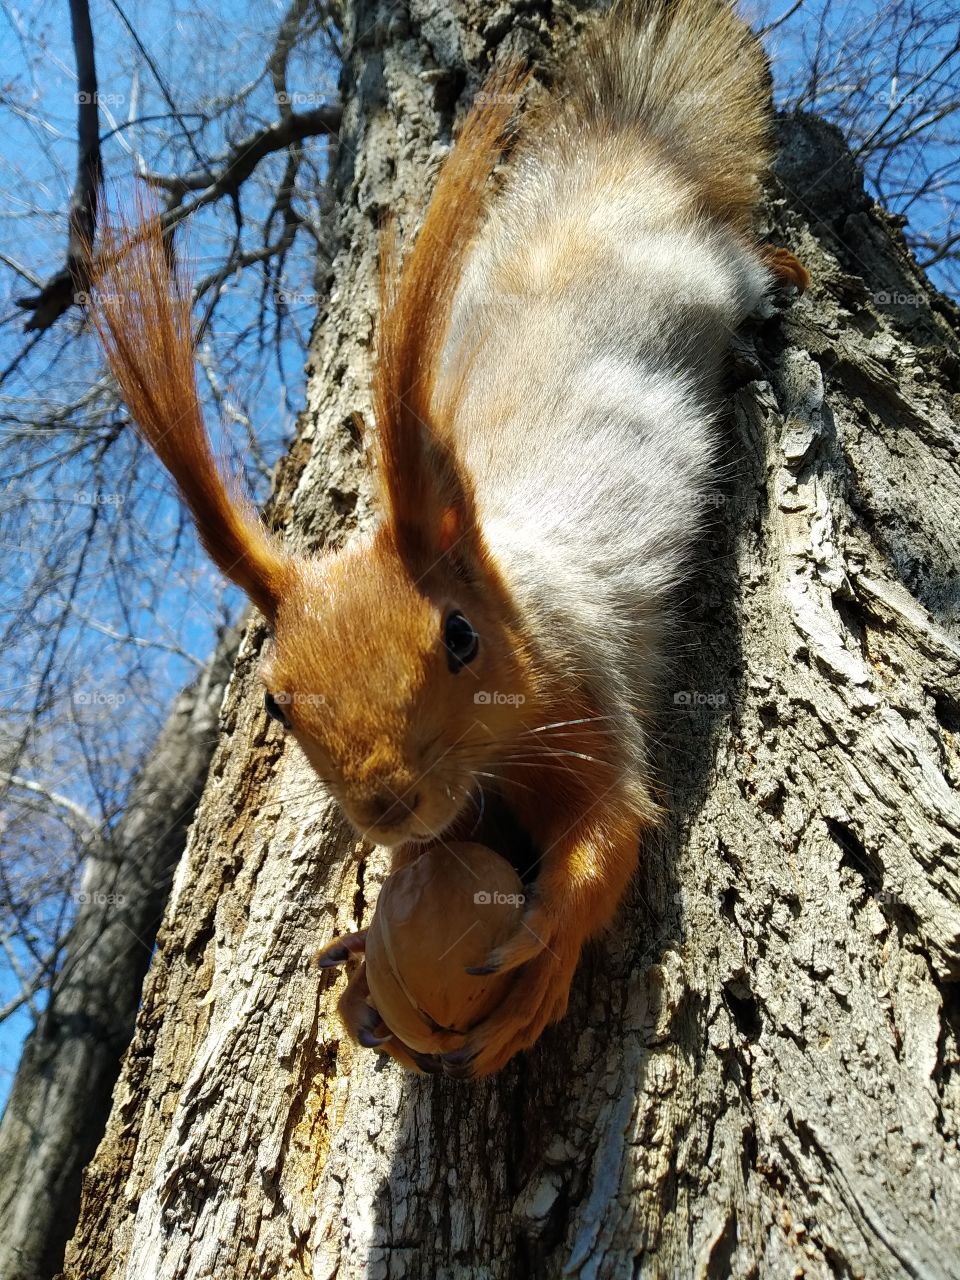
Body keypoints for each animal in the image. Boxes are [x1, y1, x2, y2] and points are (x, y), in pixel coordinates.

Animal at [88, 0, 807, 1078]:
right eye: (274, 704)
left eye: (461, 638)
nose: (386, 804)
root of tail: (627, 181)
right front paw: (359, 967)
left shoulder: (592, 694)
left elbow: (612, 832)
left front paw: (541, 952)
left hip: (710, 272)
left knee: (742, 254)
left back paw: (786, 275)